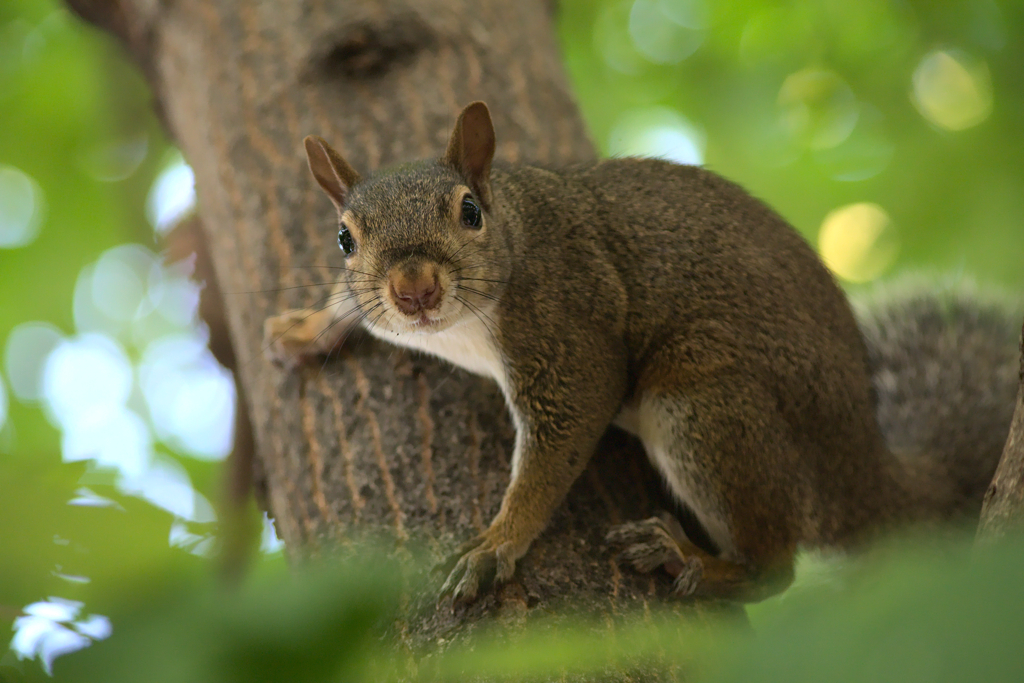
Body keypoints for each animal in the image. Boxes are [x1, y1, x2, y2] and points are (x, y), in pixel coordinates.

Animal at [266, 101, 1024, 602]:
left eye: (469, 212)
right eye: (344, 238)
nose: (413, 288)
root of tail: (862, 464)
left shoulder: (570, 332)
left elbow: (557, 448)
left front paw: (496, 543)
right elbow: (347, 306)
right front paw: (309, 326)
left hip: (704, 404)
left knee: (774, 568)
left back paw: (695, 559)